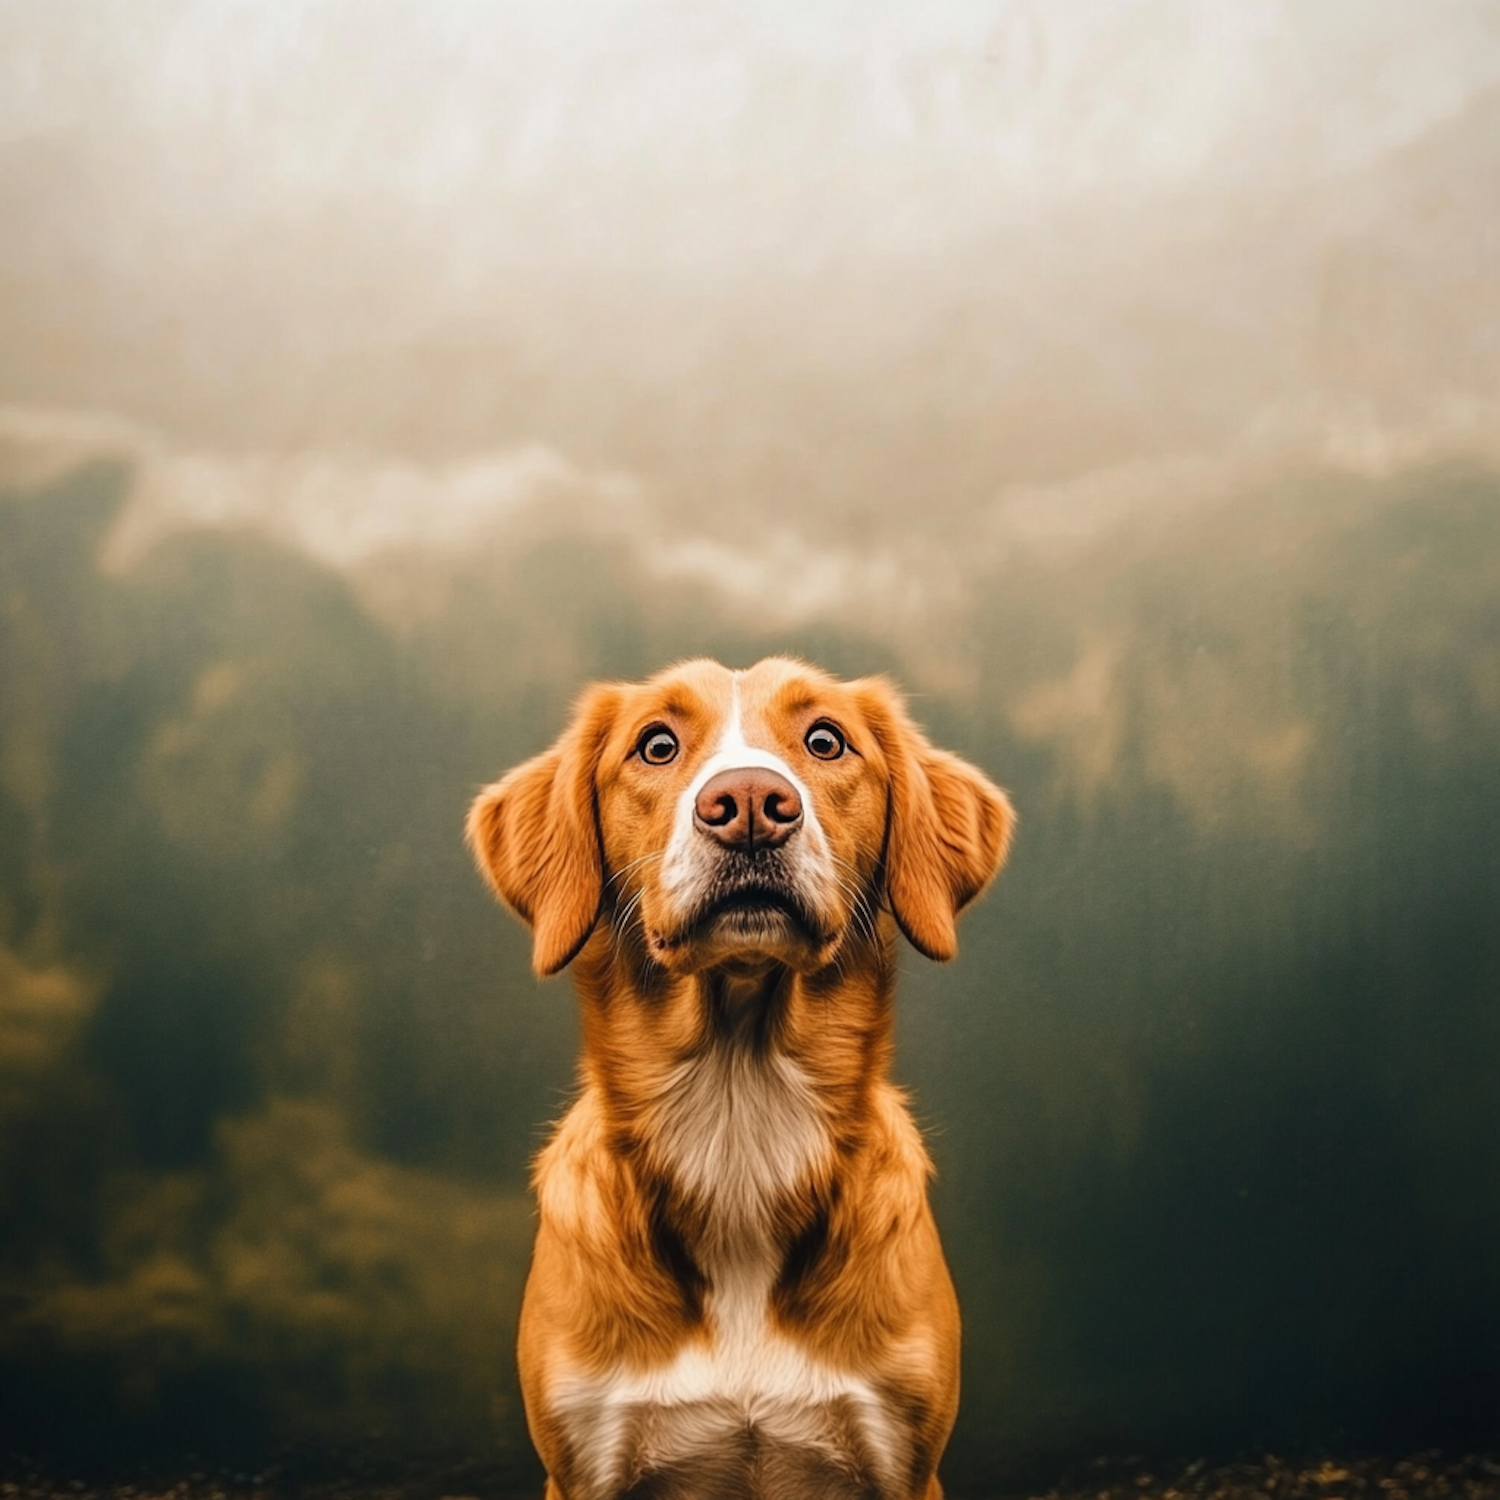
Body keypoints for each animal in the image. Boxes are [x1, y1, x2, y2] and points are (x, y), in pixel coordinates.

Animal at [462, 657, 1014, 1500]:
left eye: (826, 740)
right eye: (656, 745)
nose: (750, 802)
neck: (738, 1117)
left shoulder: (904, 1463)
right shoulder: (582, 1465)